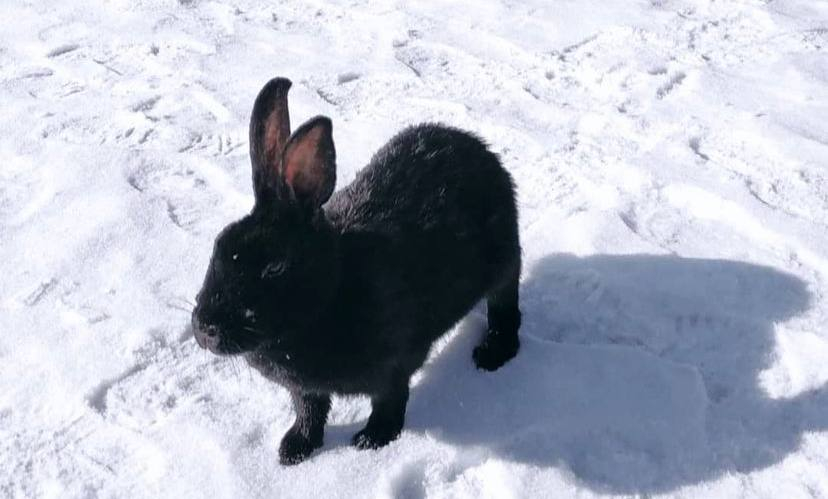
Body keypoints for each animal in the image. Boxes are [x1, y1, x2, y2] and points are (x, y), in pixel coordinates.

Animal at [191, 77, 521, 465]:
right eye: (218, 246)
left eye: (274, 267)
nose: (204, 329)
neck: (331, 292)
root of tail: (480, 149)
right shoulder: (306, 390)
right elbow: (310, 409)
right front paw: (294, 449)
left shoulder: (395, 364)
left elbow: (389, 400)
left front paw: (373, 439)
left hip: (503, 264)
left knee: (504, 303)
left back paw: (492, 354)